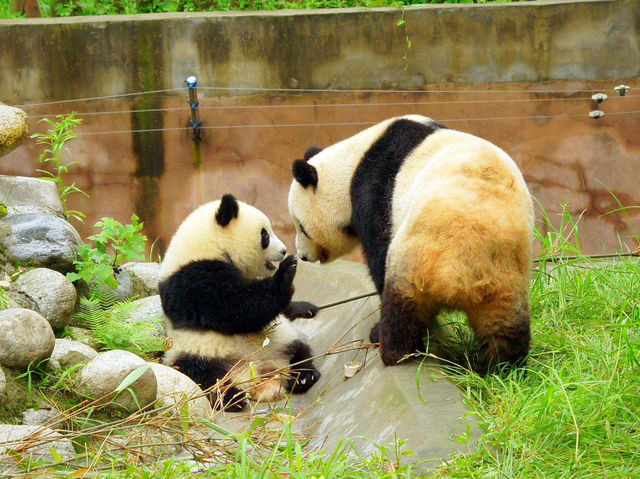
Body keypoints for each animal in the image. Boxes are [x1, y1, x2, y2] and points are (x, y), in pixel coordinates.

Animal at [160, 193, 320, 410]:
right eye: (265, 235)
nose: (284, 251)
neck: (209, 245)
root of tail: (258, 375)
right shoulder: (193, 280)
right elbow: (238, 309)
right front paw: (286, 273)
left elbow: (273, 312)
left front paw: (305, 307)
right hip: (196, 351)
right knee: (202, 374)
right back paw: (232, 398)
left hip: (282, 340)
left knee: (300, 351)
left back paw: (304, 376)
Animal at [288, 115, 532, 376]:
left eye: (301, 226)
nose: (303, 256)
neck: (352, 163)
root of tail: (460, 274)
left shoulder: (374, 194)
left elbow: (378, 252)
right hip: (505, 279)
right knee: (504, 328)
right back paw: (501, 369)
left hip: (415, 259)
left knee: (401, 309)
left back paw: (392, 349)